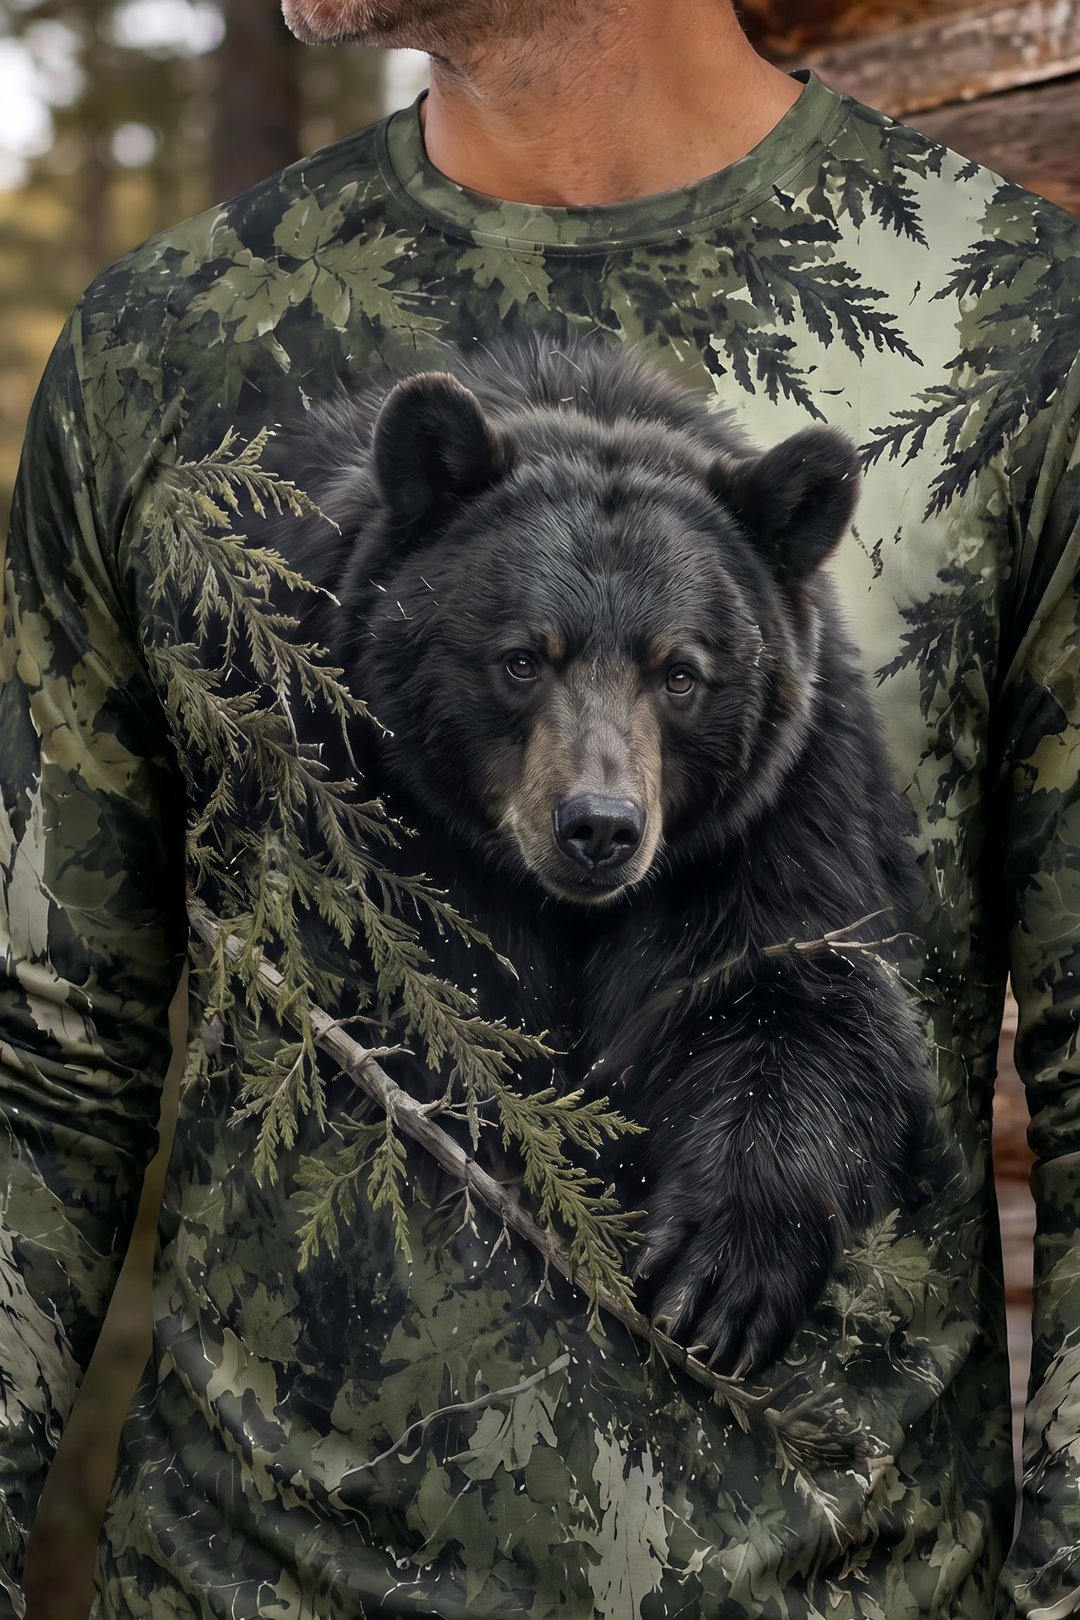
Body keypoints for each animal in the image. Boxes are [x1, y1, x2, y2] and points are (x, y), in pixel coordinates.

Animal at [275, 335, 932, 1376]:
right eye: (520, 658)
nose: (599, 827)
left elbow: (801, 996)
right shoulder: (332, 755)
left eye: (681, 673)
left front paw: (721, 1274)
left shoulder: (784, 812)